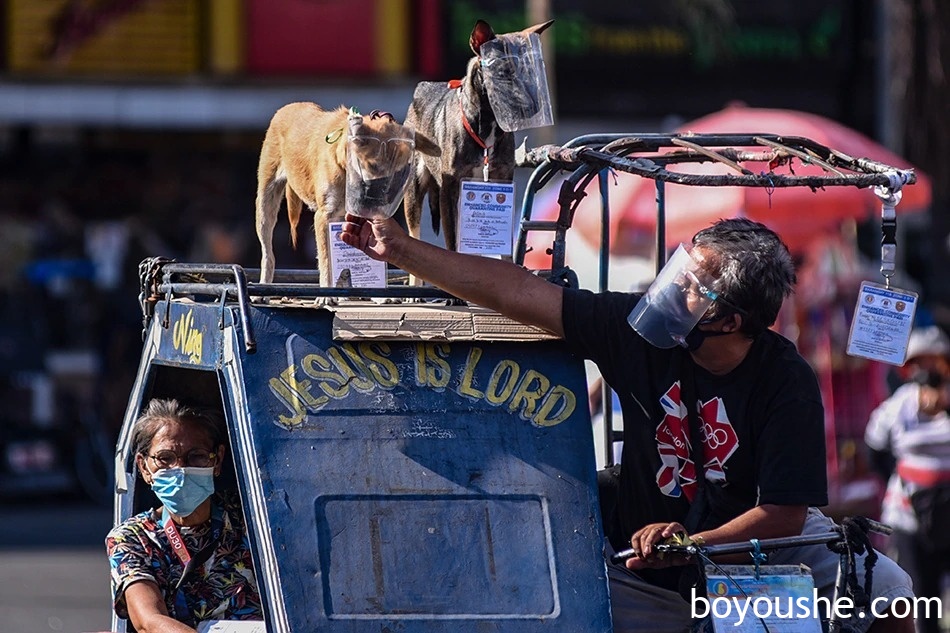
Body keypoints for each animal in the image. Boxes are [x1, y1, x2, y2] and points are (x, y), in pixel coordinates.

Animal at [404, 18, 556, 258]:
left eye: (530, 73)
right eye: (502, 72)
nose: (534, 106)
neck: (487, 124)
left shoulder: (503, 182)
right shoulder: (450, 191)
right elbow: (452, 245)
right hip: (413, 192)